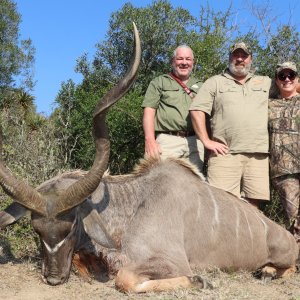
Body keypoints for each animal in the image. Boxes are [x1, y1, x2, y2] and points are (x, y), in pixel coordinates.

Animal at [0, 24, 298, 292]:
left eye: (71, 226)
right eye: (37, 230)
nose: (53, 278)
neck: (132, 208)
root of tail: (284, 234)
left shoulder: (172, 261)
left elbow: (125, 280)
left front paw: (200, 280)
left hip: (285, 255)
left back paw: (267, 271)